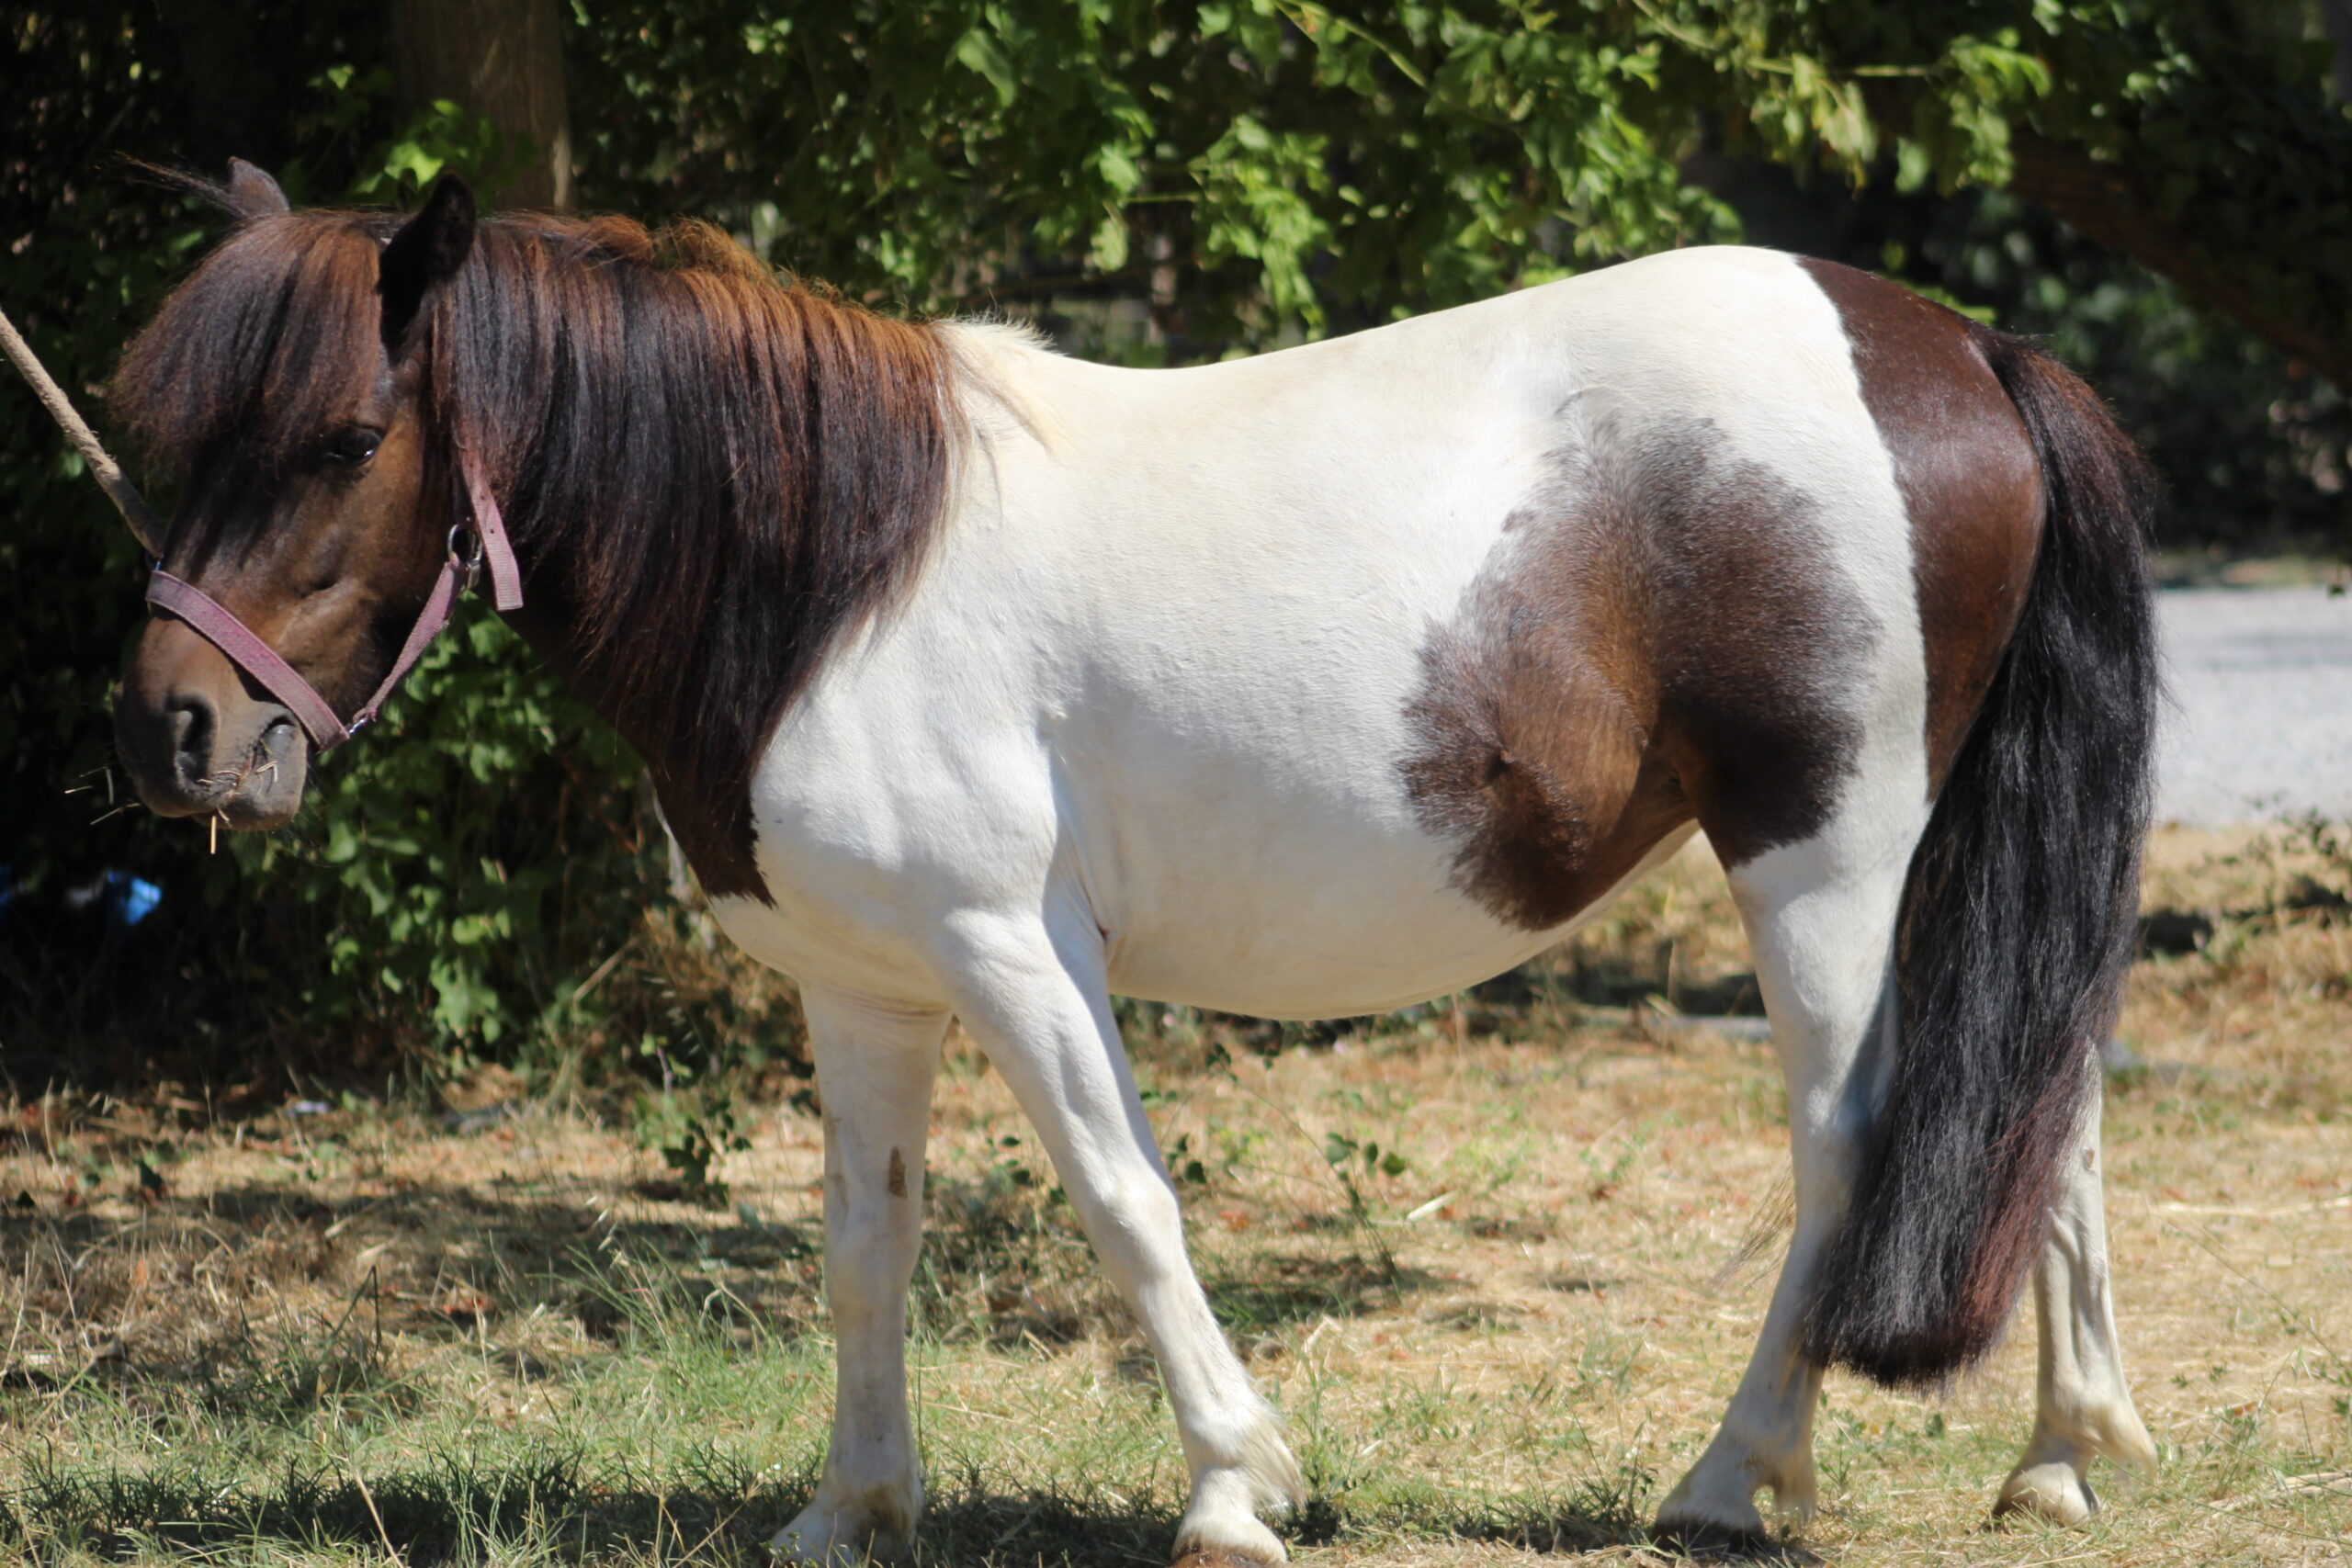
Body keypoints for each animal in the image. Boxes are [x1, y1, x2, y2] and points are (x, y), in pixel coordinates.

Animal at [114, 165, 2164, 1561]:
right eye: (172, 437)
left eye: (343, 437)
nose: (174, 735)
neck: (830, 569)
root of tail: (1960, 346)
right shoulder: (859, 980)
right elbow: (865, 1237)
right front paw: (851, 1506)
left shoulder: (1006, 946)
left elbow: (1122, 1199)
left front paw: (1235, 1485)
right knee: (2039, 1109)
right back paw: (2061, 1453)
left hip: (1821, 857)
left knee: (1852, 1142)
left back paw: (1735, 1475)